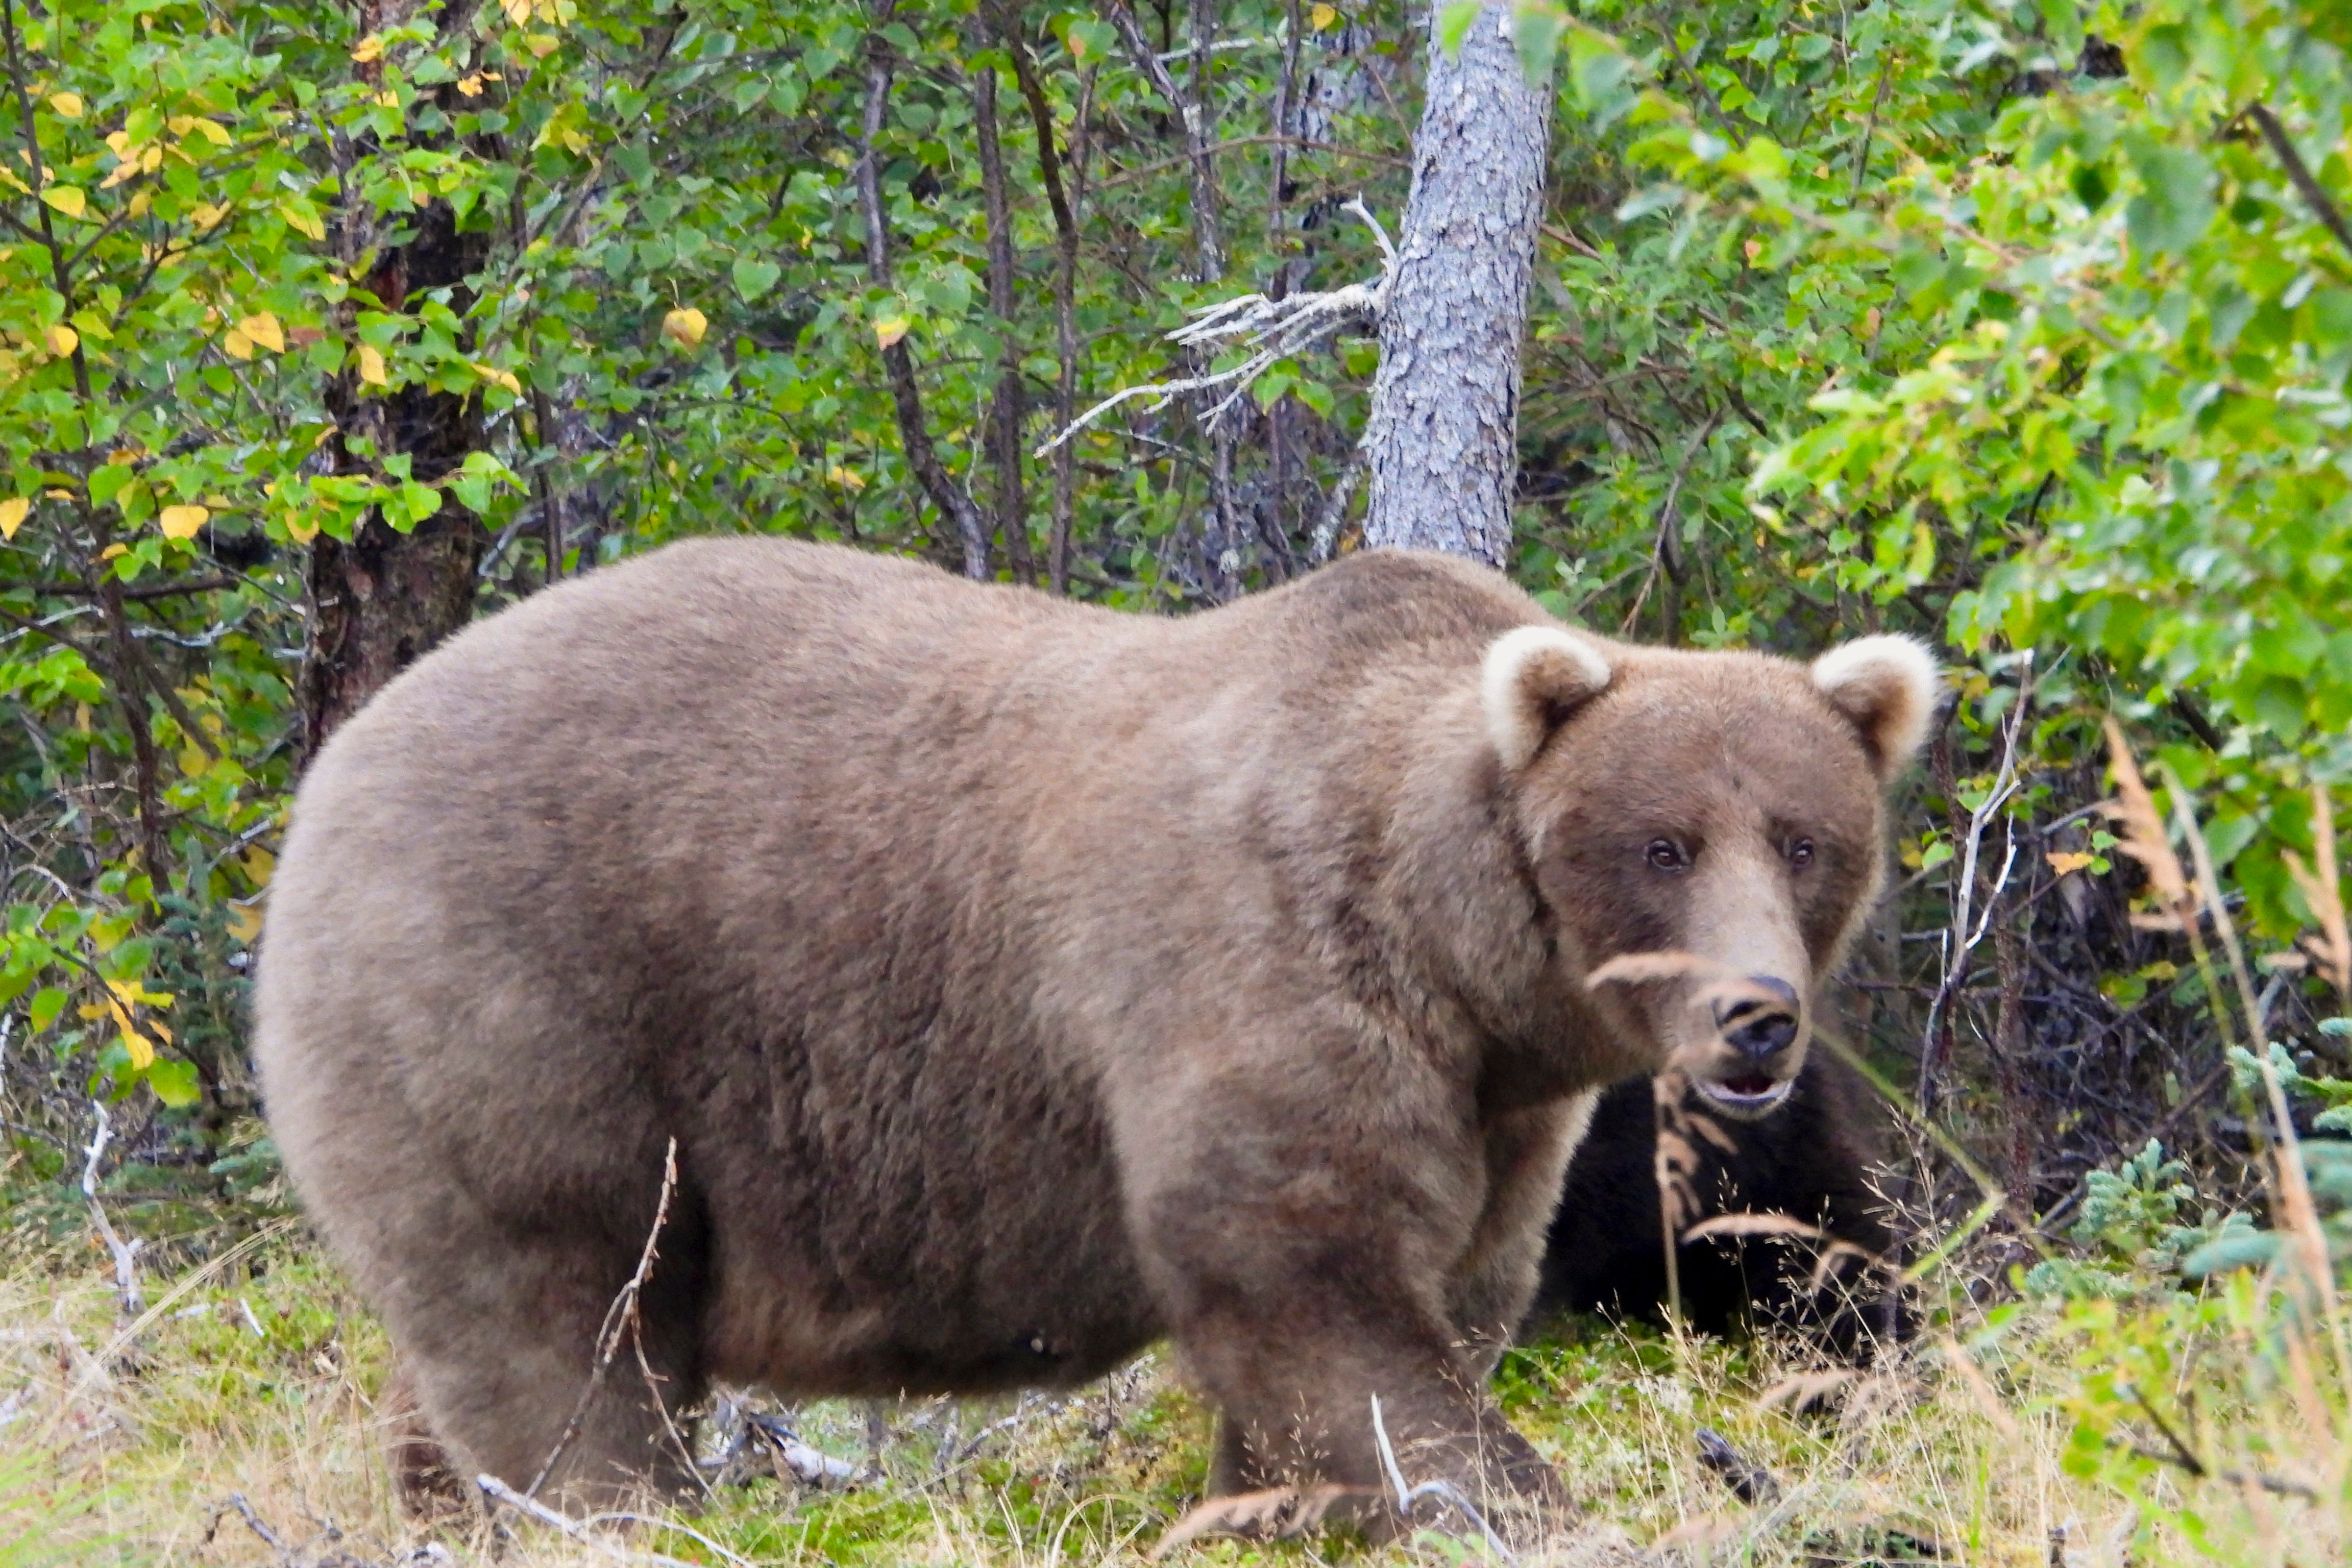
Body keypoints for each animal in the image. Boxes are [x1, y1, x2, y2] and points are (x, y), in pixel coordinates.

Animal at [253, 541, 1928, 1532]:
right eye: (1661, 842)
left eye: (1801, 840)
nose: (1756, 1017)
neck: (1455, 951)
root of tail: (339, 755)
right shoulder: (1260, 972)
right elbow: (1312, 1285)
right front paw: (1505, 1497)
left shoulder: (1500, 1110)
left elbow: (1436, 1296)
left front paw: (1264, 1509)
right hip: (527, 1002)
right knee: (568, 1338)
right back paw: (613, 1513)